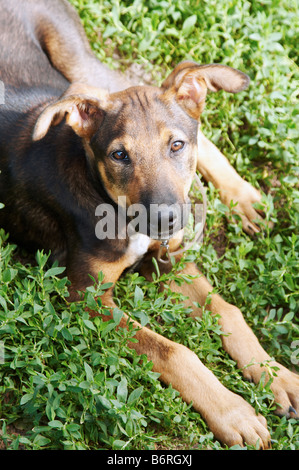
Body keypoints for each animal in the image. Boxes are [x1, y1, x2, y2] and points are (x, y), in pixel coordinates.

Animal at [0, 0, 299, 448]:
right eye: (119, 155)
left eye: (175, 145)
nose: (165, 220)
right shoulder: (85, 296)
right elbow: (174, 351)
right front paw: (234, 412)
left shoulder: (167, 261)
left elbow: (229, 312)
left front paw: (277, 376)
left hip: (82, 65)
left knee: (205, 138)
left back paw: (244, 198)